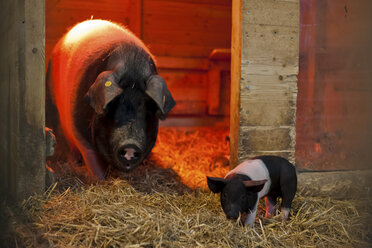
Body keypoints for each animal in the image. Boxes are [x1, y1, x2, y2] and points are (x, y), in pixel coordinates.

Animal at [45, 19, 176, 178]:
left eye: (147, 105)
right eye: (114, 103)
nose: (130, 145)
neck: (132, 68)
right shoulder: (79, 131)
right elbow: (93, 160)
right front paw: (100, 179)